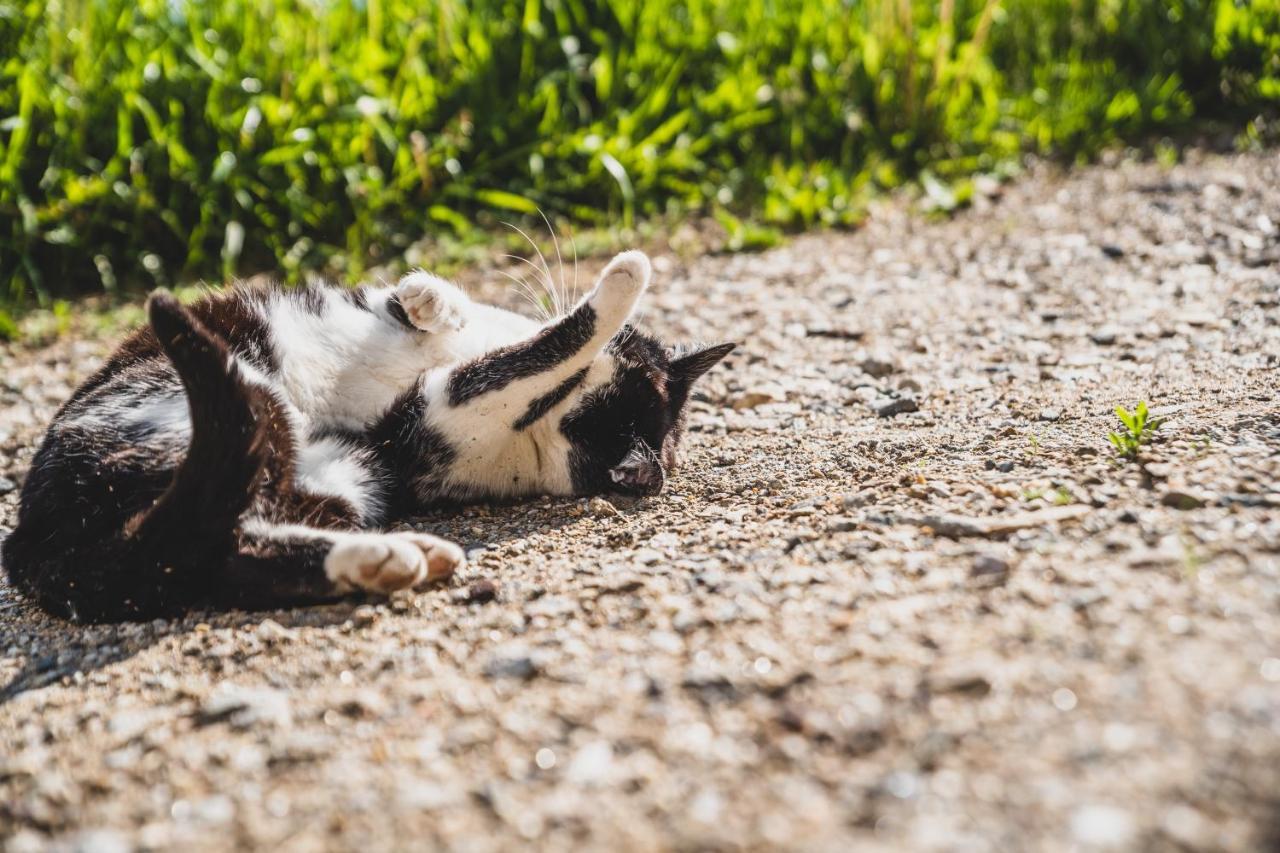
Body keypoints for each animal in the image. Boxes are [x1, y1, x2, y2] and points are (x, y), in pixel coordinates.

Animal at [0, 249, 737, 622]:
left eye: (566, 409)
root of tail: (36, 538)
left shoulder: (427, 427)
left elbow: (531, 353)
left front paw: (623, 279)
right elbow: (487, 324)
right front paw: (428, 300)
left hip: (318, 454)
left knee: (223, 547)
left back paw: (393, 557)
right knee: (211, 542)